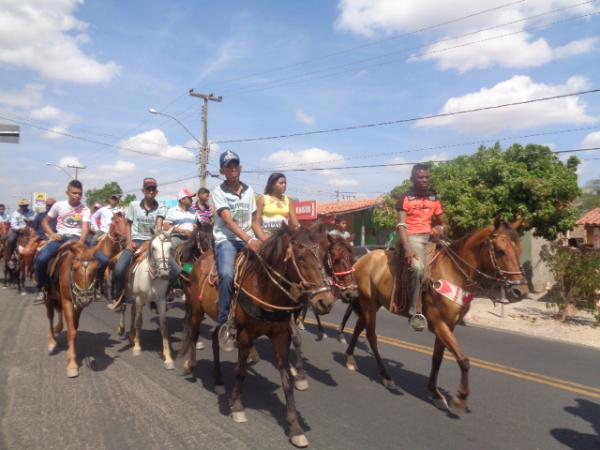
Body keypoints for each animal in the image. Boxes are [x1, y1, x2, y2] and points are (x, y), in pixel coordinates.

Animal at [44, 241, 99, 378]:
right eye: (74, 268)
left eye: (96, 268)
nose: (85, 298)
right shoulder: (67, 301)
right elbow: (71, 331)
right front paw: (72, 364)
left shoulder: (78, 305)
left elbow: (73, 328)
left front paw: (71, 354)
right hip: (49, 296)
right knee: (50, 316)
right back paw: (52, 341)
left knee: (58, 311)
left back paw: (58, 329)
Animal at [123, 232, 176, 370]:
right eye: (153, 248)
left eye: (170, 248)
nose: (164, 273)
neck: (152, 278)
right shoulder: (139, 298)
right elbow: (138, 322)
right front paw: (137, 348)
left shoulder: (161, 301)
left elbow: (164, 327)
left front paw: (168, 358)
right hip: (134, 295)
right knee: (133, 313)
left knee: (133, 311)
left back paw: (132, 335)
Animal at [178, 225, 338, 446]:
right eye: (301, 257)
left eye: (324, 256)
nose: (325, 302)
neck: (265, 289)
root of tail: (201, 259)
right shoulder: (246, 335)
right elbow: (241, 371)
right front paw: (237, 406)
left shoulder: (281, 336)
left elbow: (287, 380)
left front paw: (295, 427)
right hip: (196, 309)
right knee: (193, 335)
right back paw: (190, 365)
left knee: (216, 340)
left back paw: (218, 381)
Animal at [342, 220, 528, 414]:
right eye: (500, 250)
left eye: (520, 249)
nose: (520, 291)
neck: (454, 273)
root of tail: (362, 259)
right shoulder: (439, 324)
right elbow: (463, 360)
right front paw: (461, 397)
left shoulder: (449, 325)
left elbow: (437, 358)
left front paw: (435, 393)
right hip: (369, 303)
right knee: (371, 336)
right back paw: (386, 377)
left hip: (373, 304)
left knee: (359, 326)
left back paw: (350, 358)